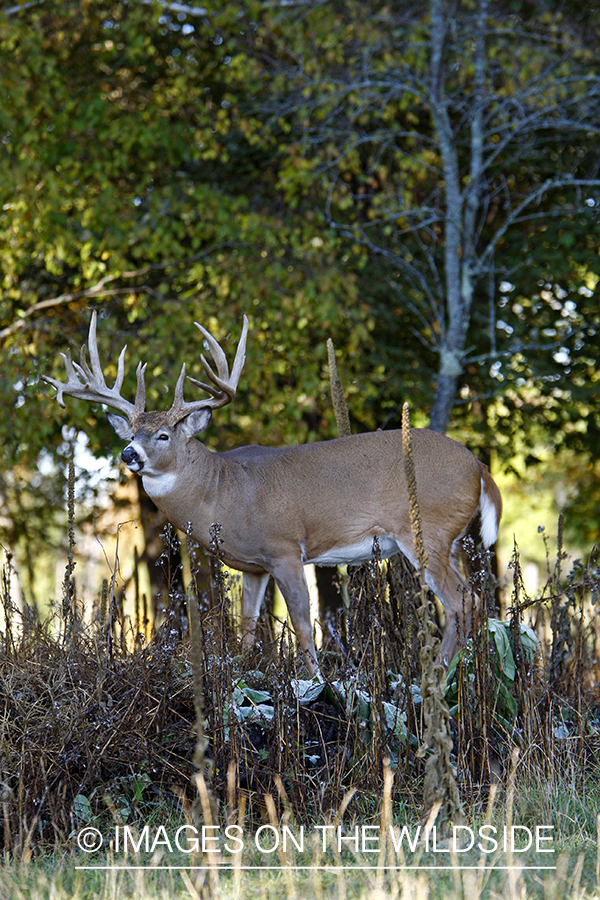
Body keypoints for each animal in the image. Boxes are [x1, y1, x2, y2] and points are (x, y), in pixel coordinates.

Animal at [43, 312, 502, 672]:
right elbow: (248, 624)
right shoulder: (254, 565)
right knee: (470, 600)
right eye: (131, 432)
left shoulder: (285, 548)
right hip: (450, 536)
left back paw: (437, 677)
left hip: (427, 529)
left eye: (162, 435)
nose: (129, 454)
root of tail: (478, 466)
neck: (223, 489)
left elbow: (301, 622)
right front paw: (243, 671)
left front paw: (316, 680)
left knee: (463, 600)